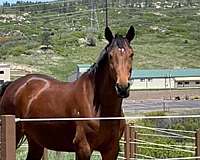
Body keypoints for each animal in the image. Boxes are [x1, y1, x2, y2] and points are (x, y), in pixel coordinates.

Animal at [0, 25, 135, 159]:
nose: (122, 88)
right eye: (110, 55)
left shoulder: (111, 150)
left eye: (131, 54)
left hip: (35, 141)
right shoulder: (83, 149)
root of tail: (13, 85)